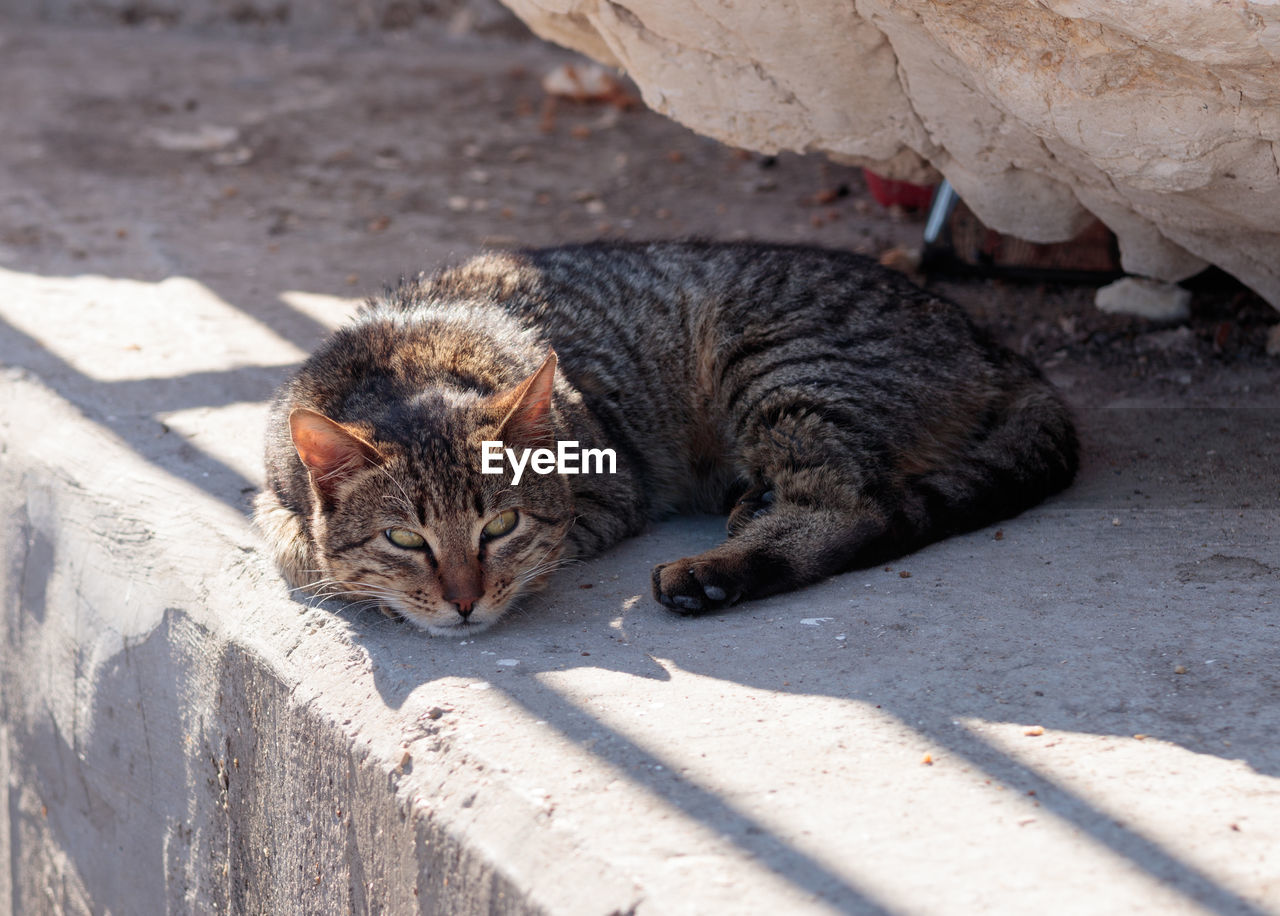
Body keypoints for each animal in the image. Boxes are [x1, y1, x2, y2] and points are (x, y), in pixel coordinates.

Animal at [254, 239, 1075, 634]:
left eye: (500, 524)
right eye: (405, 537)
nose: (462, 602)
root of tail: (988, 340)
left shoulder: (613, 491)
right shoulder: (270, 493)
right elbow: (296, 547)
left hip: (782, 364)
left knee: (853, 507)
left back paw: (715, 571)